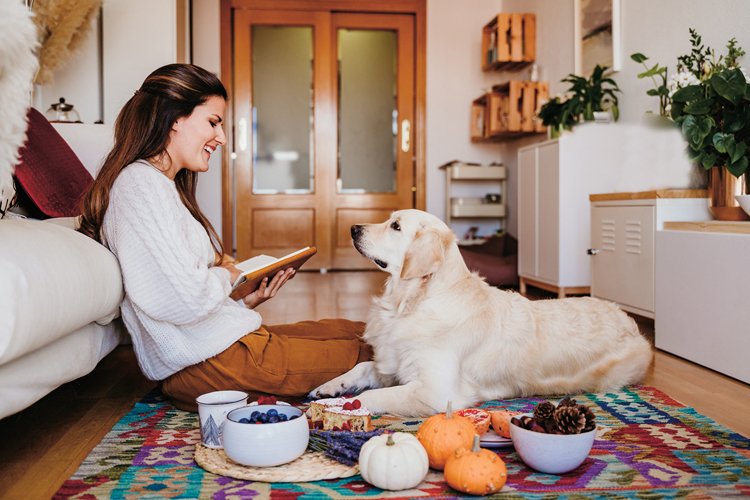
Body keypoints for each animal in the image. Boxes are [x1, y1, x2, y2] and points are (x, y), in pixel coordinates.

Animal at [310, 209, 652, 416]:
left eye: (395, 226)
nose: (353, 228)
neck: (410, 301)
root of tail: (631, 322)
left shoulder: (437, 391)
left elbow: (375, 396)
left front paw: (341, 403)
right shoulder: (393, 361)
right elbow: (363, 366)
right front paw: (330, 386)